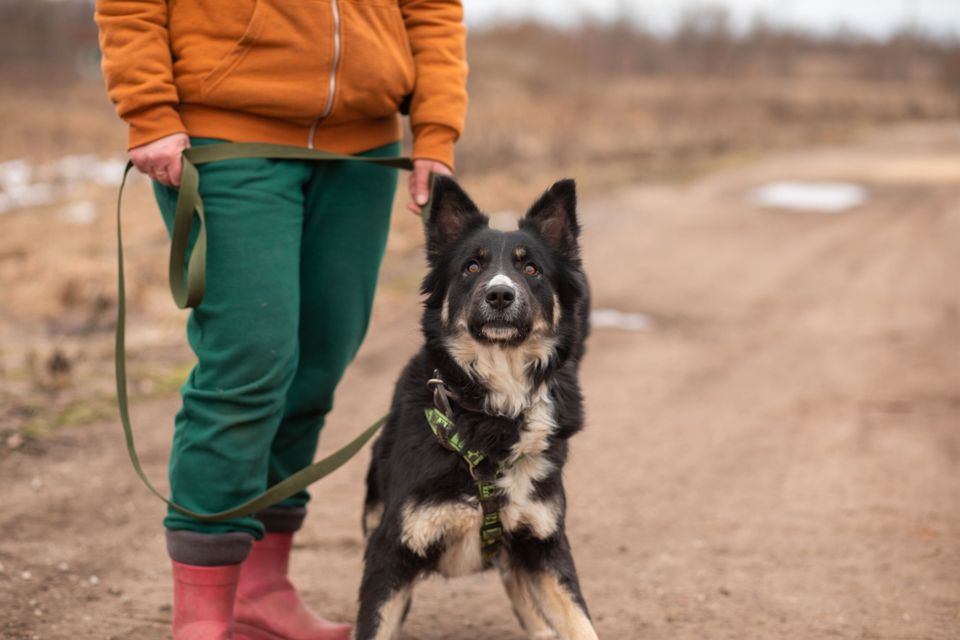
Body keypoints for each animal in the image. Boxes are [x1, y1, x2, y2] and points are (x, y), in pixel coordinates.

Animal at [356, 176, 596, 640]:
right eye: (471, 267)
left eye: (531, 269)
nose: (500, 294)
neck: (492, 411)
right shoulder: (389, 552)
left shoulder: (543, 543)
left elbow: (580, 622)